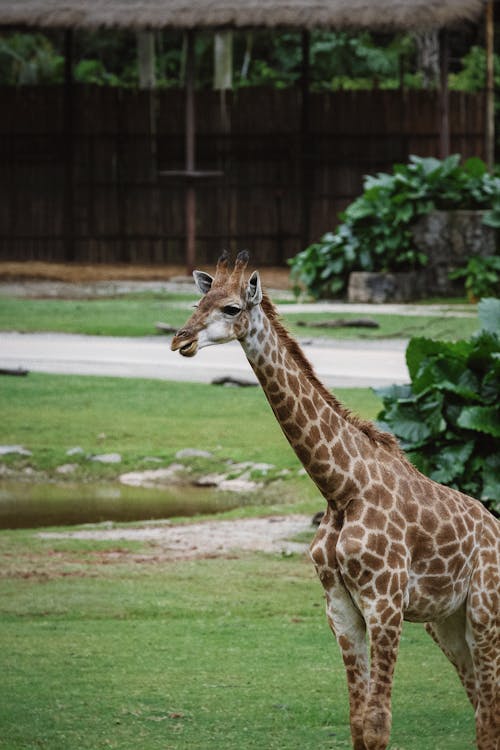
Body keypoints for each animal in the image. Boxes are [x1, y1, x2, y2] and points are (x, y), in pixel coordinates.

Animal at [173, 254, 500, 750]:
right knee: (483, 711)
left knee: (488, 713)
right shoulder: (341, 609)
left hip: (485, 611)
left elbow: (378, 724)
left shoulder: (385, 604)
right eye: (198, 303)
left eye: (231, 308)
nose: (181, 340)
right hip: (447, 623)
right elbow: (358, 724)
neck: (342, 488)